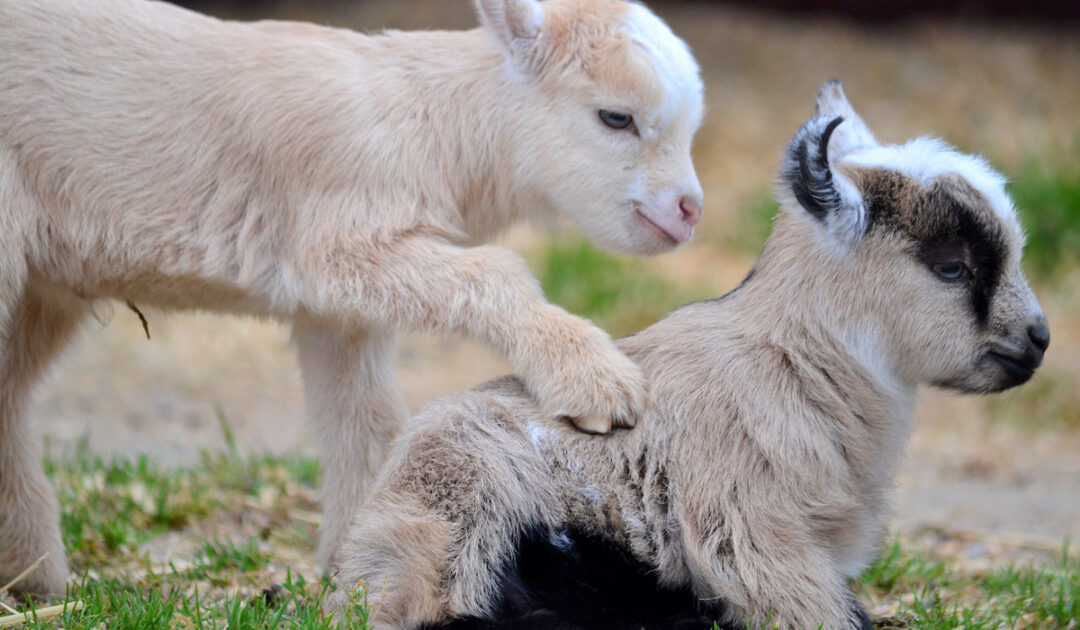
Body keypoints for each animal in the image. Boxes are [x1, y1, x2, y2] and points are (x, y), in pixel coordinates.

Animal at [0, 0, 705, 596]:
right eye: (615, 117)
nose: (689, 211)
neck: (435, 125)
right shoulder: (339, 247)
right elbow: (496, 271)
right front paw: (596, 380)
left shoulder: (339, 308)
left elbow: (366, 423)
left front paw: (364, 566)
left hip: (45, 285)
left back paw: (32, 578)